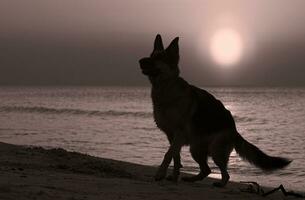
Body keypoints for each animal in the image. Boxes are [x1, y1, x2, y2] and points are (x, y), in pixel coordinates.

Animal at [138, 34, 290, 188]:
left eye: (159, 57)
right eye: (151, 55)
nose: (141, 61)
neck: (166, 89)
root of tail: (234, 128)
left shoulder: (178, 134)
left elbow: (168, 155)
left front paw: (160, 174)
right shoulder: (171, 137)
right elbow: (176, 158)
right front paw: (174, 176)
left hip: (215, 151)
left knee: (225, 174)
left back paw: (221, 184)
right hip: (195, 150)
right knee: (206, 170)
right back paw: (191, 179)